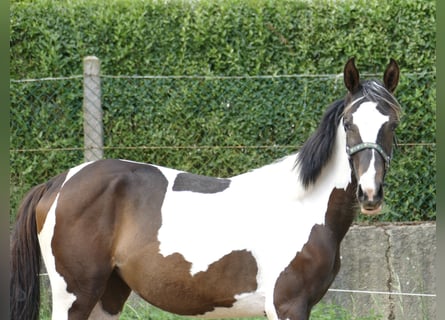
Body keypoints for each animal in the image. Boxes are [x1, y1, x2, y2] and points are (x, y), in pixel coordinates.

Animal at [10, 57, 398, 320]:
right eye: (348, 123)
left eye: (392, 123)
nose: (369, 194)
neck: (305, 207)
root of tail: (57, 183)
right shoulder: (287, 305)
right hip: (74, 296)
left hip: (107, 295)